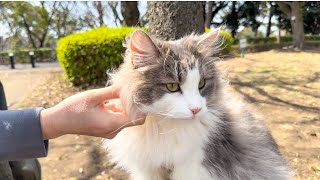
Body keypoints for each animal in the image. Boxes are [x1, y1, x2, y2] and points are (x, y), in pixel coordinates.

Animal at [104, 29, 292, 180]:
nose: (196, 109)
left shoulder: (195, 167)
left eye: (201, 83)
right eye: (172, 86)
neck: (164, 127)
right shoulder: (147, 170)